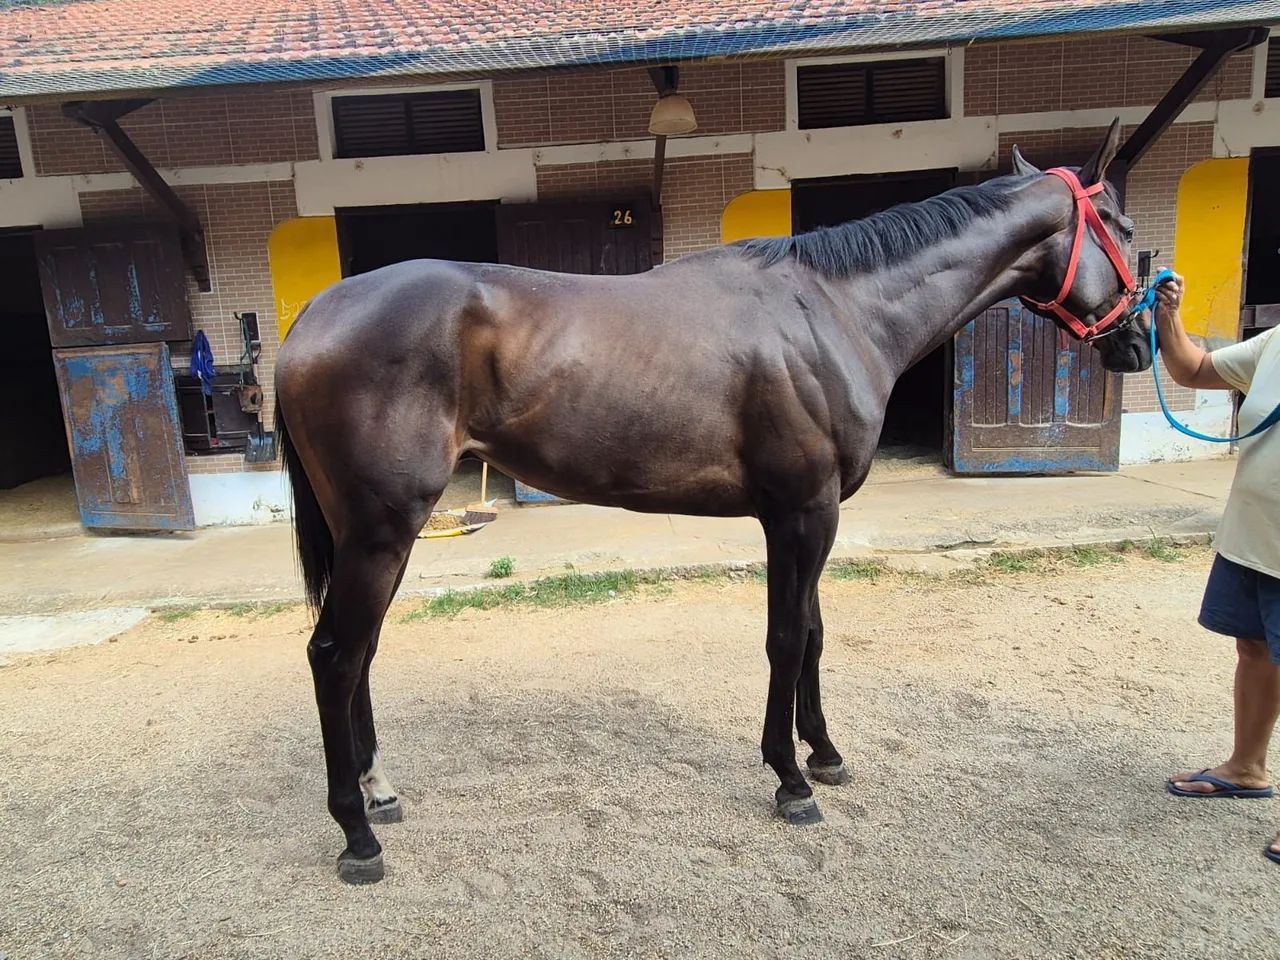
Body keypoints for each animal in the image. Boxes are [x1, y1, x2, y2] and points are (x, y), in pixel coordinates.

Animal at [275, 119, 1153, 883]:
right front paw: (790, 782)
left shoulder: (806, 516)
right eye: (1119, 224)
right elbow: (786, 642)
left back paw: (379, 792)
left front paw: (825, 756)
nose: (1138, 341)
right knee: (334, 656)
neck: (836, 311)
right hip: (383, 530)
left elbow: (813, 635)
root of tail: (313, 316)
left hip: (375, 535)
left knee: (361, 654)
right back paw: (356, 836)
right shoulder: (803, 513)